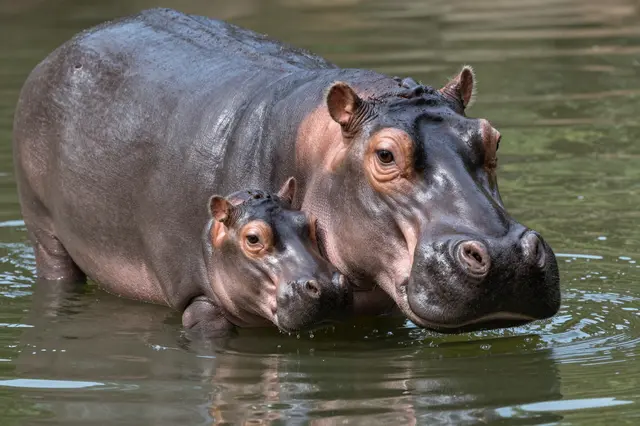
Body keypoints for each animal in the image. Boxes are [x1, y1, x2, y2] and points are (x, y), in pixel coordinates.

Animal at [13, 8, 560, 333]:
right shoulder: (201, 300)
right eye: (385, 155)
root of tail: (63, 48)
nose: (506, 256)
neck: (319, 151)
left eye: (492, 138)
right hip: (44, 231)